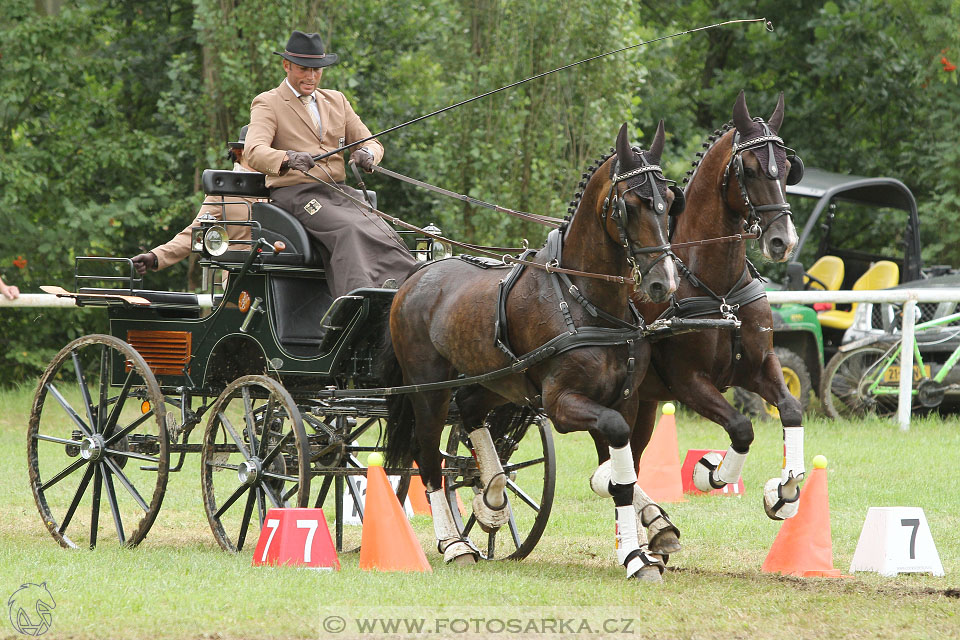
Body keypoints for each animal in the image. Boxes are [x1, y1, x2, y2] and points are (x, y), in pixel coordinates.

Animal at [382, 122, 684, 584]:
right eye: (630, 205)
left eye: (669, 202)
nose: (662, 283)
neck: (583, 300)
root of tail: (418, 274)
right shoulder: (561, 403)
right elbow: (617, 465)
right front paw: (636, 555)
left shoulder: (624, 401)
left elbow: (622, 471)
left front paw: (644, 542)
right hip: (427, 388)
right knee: (428, 455)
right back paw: (455, 545)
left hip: (495, 382)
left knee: (469, 412)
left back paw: (491, 495)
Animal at [592, 92, 804, 552]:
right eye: (751, 169)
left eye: (787, 166)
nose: (783, 240)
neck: (717, 290)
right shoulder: (689, 382)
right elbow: (741, 428)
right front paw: (712, 474)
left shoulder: (759, 366)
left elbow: (792, 409)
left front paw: (785, 492)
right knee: (610, 470)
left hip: (643, 404)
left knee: (627, 463)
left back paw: (652, 528)